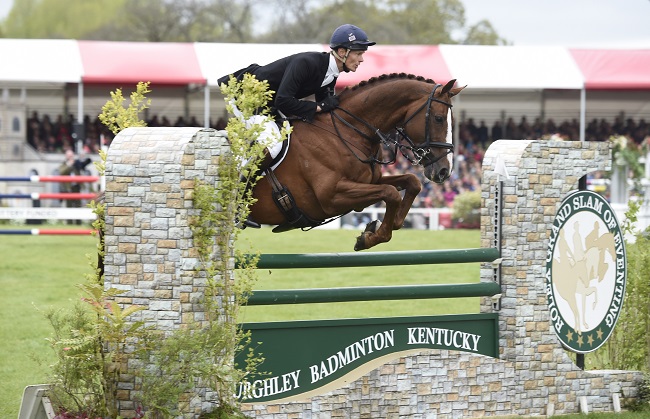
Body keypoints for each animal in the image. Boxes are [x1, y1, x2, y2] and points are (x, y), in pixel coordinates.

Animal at [247, 73, 465, 251]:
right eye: (438, 118)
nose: (444, 171)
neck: (347, 131)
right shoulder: (332, 196)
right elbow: (392, 193)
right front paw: (368, 238)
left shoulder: (370, 181)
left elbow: (412, 182)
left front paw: (377, 228)